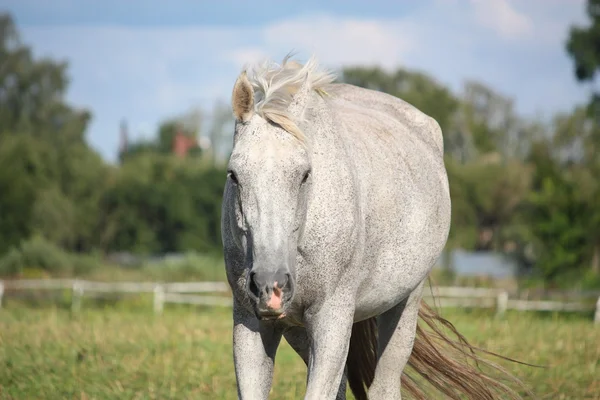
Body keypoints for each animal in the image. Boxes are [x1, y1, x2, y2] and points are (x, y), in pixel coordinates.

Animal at [219, 54, 524, 398]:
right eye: (233, 174)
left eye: (305, 174)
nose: (269, 286)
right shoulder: (251, 322)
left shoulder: (331, 318)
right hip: (301, 329)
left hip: (404, 303)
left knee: (384, 385)